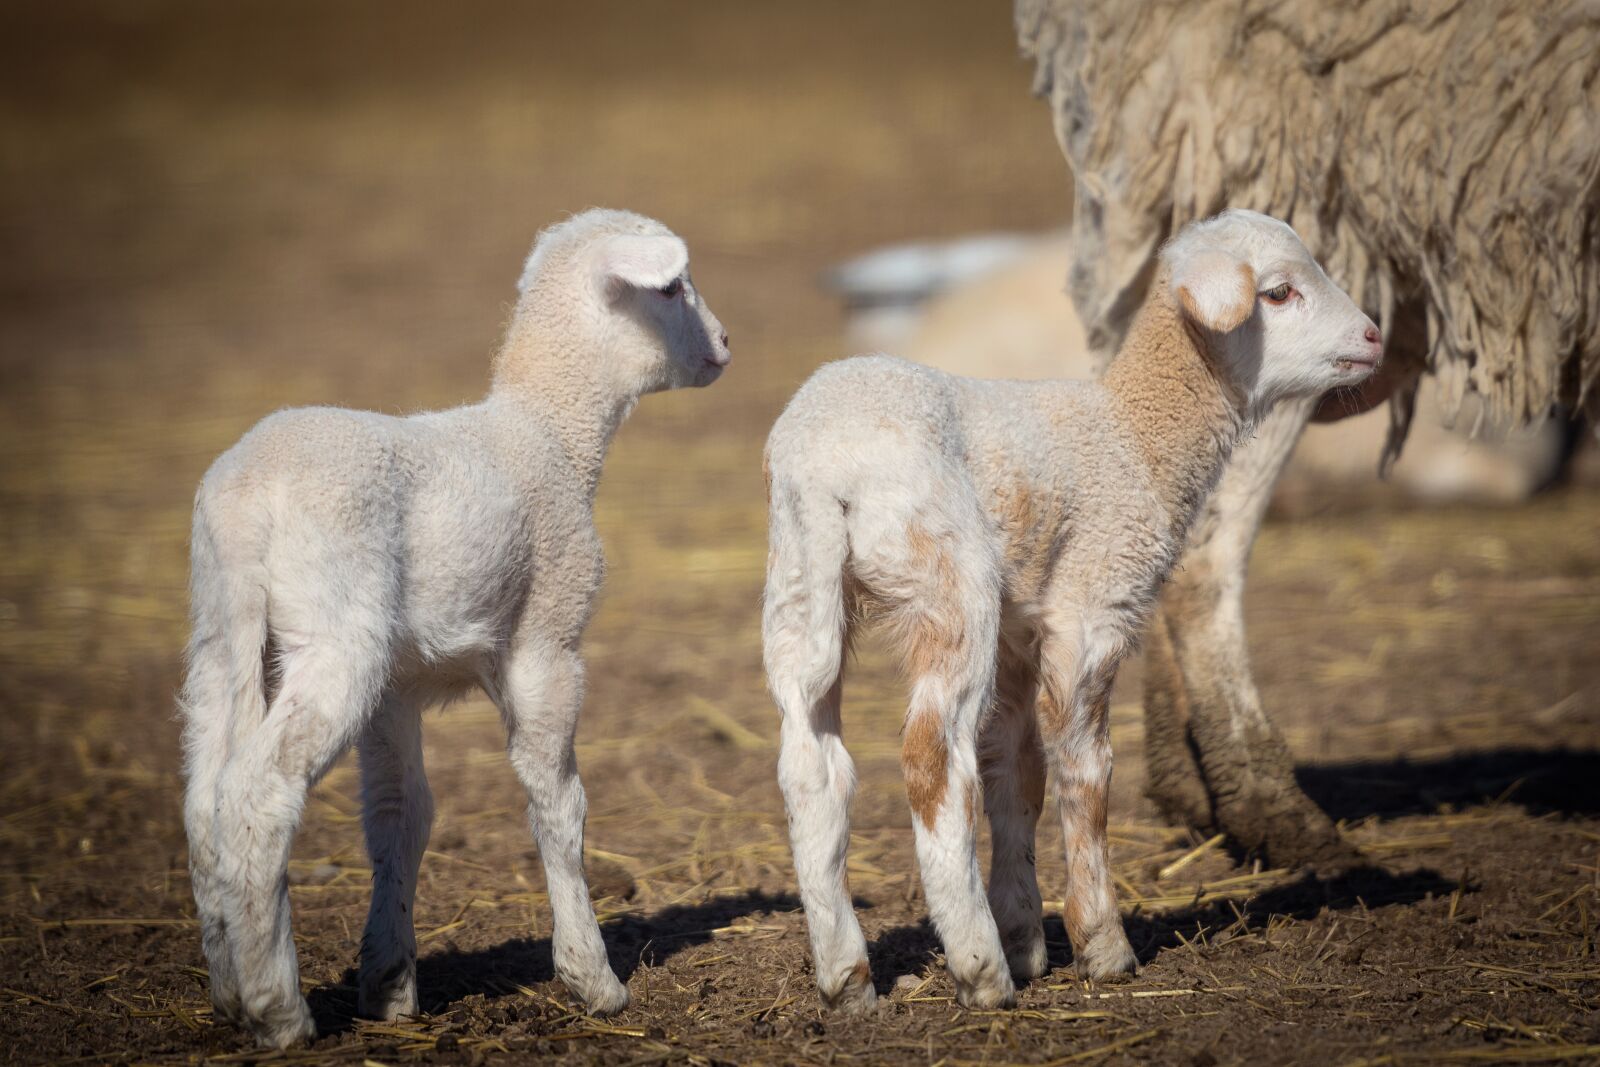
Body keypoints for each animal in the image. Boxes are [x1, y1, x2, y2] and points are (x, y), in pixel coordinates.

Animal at [178, 208, 731, 1048]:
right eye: (672, 287)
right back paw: (279, 1009)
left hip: (221, 632)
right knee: (257, 791)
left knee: (203, 799)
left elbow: (401, 816)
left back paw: (229, 990)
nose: (726, 344)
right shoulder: (548, 636)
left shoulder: (398, 687)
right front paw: (593, 977)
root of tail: (246, 497)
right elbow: (558, 803)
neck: (551, 430)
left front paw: (389, 983)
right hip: (336, 630)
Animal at [762, 210, 1382, 1011]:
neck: (1136, 435)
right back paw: (980, 969)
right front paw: (1101, 946)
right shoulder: (1095, 604)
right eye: (1278, 293)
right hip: (950, 582)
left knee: (812, 765)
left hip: (799, 587)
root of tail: (826, 462)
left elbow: (1017, 771)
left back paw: (848, 979)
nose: (1373, 337)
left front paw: (1027, 933)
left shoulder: (1024, 628)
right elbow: (1086, 773)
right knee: (934, 760)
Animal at [1015, 0, 1600, 867]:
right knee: (1204, 556)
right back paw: (1269, 803)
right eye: (1282, 292)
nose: (1370, 336)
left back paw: (1194, 789)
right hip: (1282, 165)